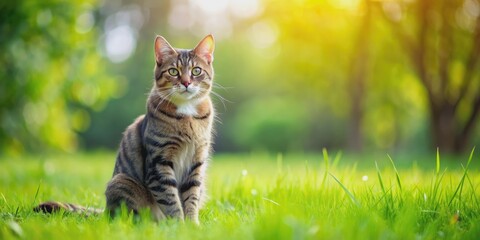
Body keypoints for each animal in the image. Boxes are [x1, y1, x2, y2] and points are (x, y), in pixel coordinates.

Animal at [36, 34, 217, 224]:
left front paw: (192, 224)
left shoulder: (196, 162)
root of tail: (104, 210)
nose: (186, 82)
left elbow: (191, 197)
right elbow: (170, 200)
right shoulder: (159, 162)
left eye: (196, 71)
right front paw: (178, 225)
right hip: (122, 182)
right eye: (173, 71)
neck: (187, 112)